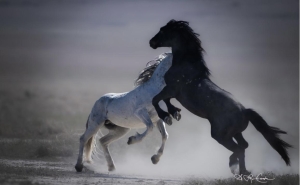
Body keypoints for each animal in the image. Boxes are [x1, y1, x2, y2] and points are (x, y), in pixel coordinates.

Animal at [149, 20, 292, 175]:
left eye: (163, 30)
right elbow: (164, 100)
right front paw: (174, 113)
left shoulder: (171, 89)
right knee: (244, 145)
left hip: (220, 135)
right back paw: (243, 171)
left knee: (239, 148)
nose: (151, 42)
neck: (185, 66)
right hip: (235, 133)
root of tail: (245, 111)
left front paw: (166, 116)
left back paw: (234, 165)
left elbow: (156, 100)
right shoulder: (171, 92)